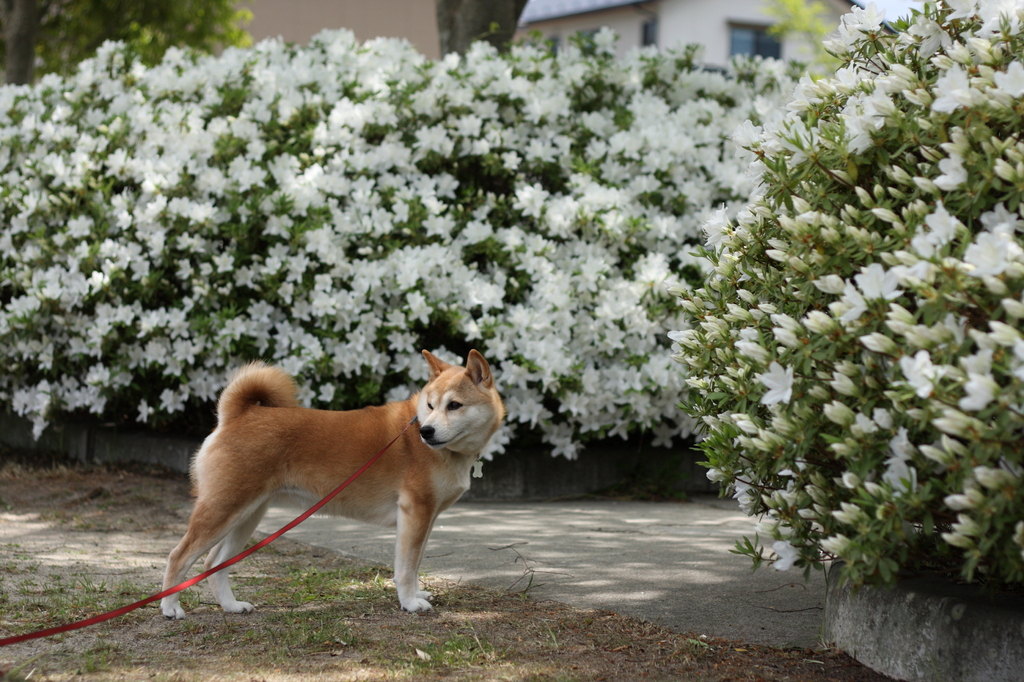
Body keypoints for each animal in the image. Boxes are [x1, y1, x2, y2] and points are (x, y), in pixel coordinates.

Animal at [158, 348, 503, 618]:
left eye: (454, 405)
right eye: (430, 406)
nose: (426, 432)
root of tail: (238, 415)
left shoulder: (425, 518)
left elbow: (415, 564)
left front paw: (417, 594)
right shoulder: (415, 512)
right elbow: (406, 568)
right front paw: (409, 602)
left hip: (246, 516)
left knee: (215, 563)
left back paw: (230, 606)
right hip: (224, 510)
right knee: (179, 557)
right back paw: (170, 608)